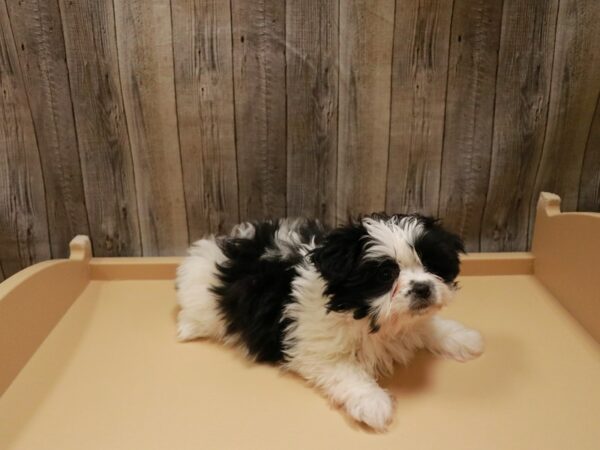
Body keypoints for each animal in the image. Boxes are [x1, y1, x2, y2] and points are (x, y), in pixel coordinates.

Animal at [176, 214, 486, 428]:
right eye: (386, 275)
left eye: (431, 266)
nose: (423, 288)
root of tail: (212, 248)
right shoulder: (317, 350)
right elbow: (347, 372)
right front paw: (373, 402)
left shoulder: (412, 319)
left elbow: (427, 325)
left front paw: (462, 338)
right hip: (206, 303)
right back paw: (187, 327)